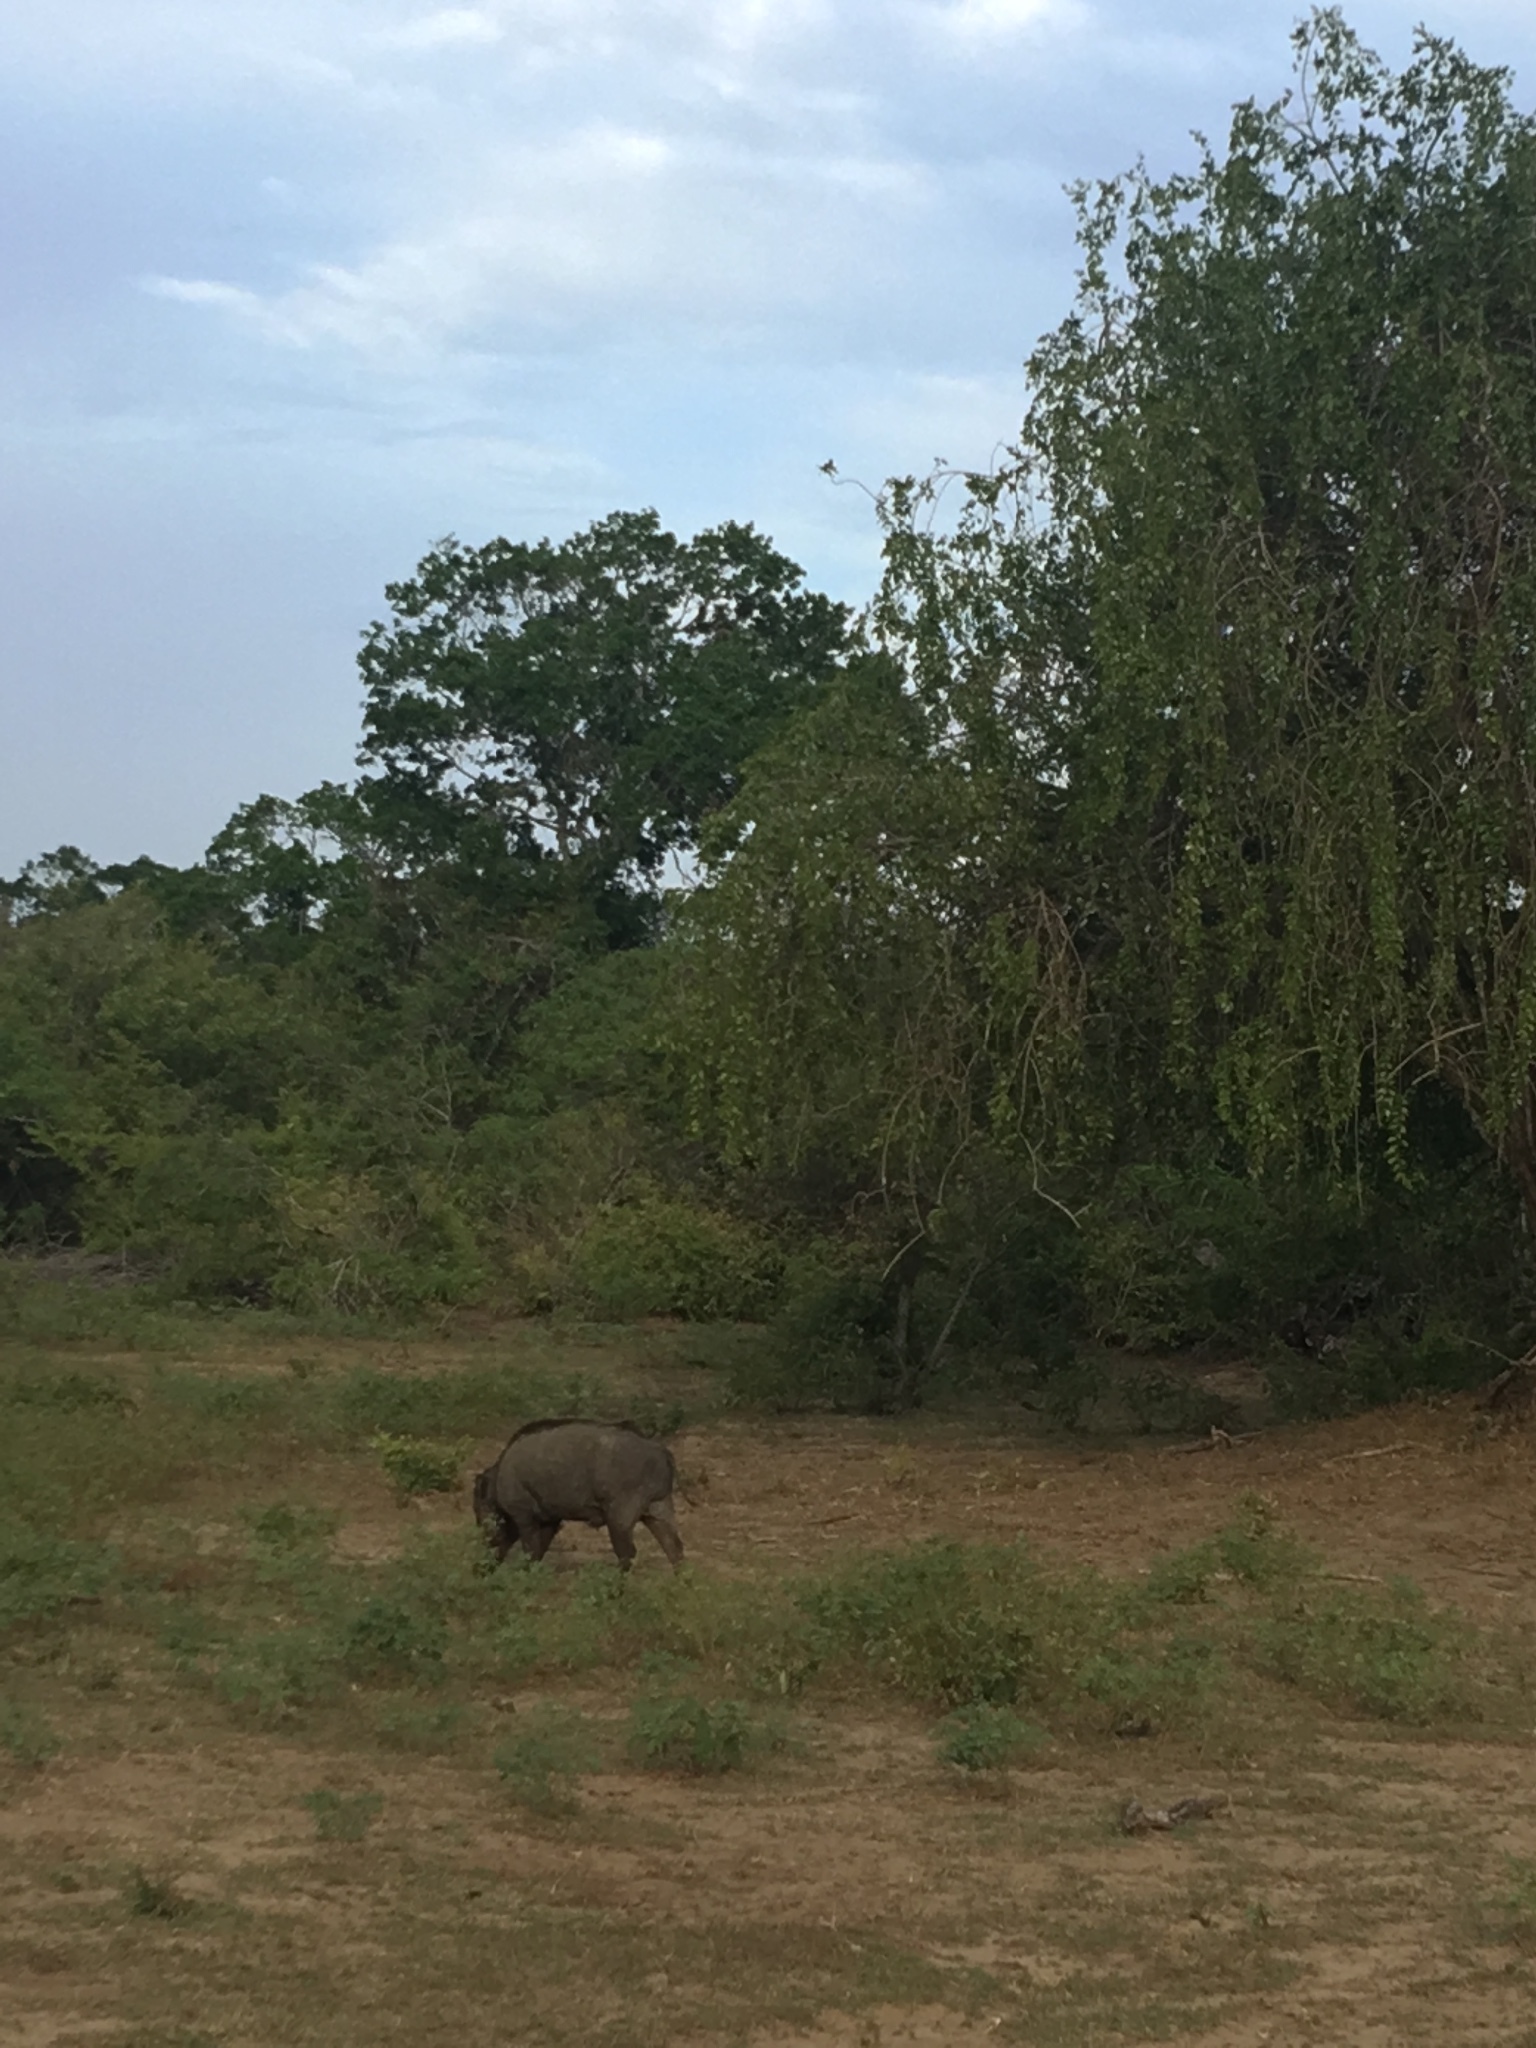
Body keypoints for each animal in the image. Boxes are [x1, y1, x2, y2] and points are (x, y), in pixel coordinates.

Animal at [468, 1425, 684, 1564]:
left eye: (480, 1505)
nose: (487, 1537)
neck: (500, 1475)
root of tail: (660, 1452)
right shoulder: (549, 1521)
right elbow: (538, 1552)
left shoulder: (524, 1518)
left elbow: (530, 1551)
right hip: (657, 1512)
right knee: (674, 1549)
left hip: (619, 1521)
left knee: (627, 1554)